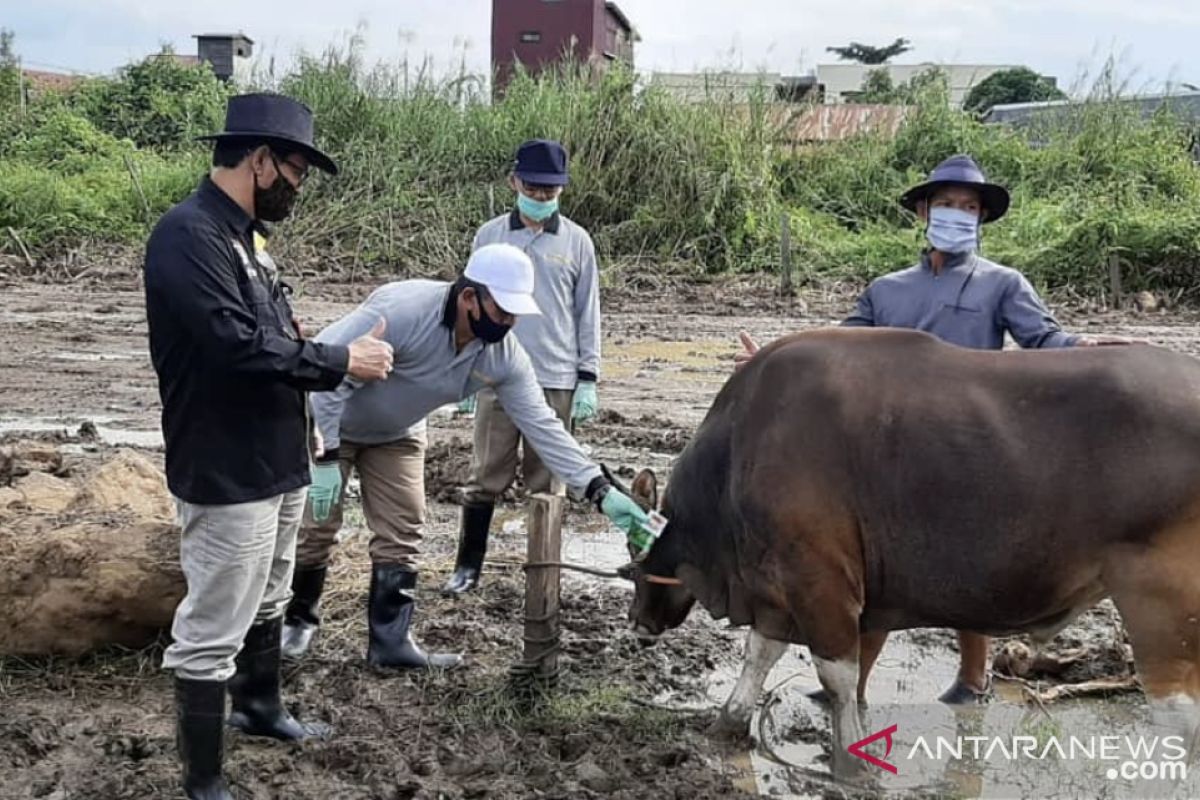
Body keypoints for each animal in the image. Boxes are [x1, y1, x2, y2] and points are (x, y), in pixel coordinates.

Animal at [628, 326, 1200, 782]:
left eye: (635, 549)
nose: (637, 622)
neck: (740, 447)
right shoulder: (775, 586)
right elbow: (760, 654)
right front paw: (727, 722)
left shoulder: (819, 583)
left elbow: (836, 676)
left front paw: (850, 762)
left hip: (1159, 606)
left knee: (1179, 722)